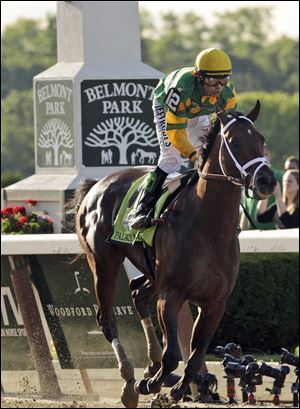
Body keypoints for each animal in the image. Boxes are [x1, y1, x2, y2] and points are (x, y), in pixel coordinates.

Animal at [73, 100, 276, 406]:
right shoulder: (171, 295)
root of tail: (95, 185)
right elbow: (174, 355)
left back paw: (150, 365)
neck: (209, 226)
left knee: (138, 292)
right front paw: (150, 385)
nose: (267, 180)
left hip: (150, 270)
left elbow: (195, 356)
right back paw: (130, 380)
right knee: (106, 319)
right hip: (103, 261)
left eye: (262, 140)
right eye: (234, 141)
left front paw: (175, 389)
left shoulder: (214, 303)